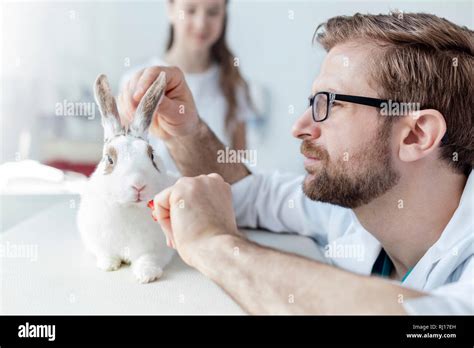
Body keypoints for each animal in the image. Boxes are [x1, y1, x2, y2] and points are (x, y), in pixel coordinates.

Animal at [77, 70, 177, 282]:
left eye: (152, 155)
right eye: (109, 159)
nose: (138, 185)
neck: (129, 207)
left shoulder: (157, 249)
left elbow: (148, 258)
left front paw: (146, 275)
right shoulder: (97, 241)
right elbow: (106, 253)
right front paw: (109, 265)